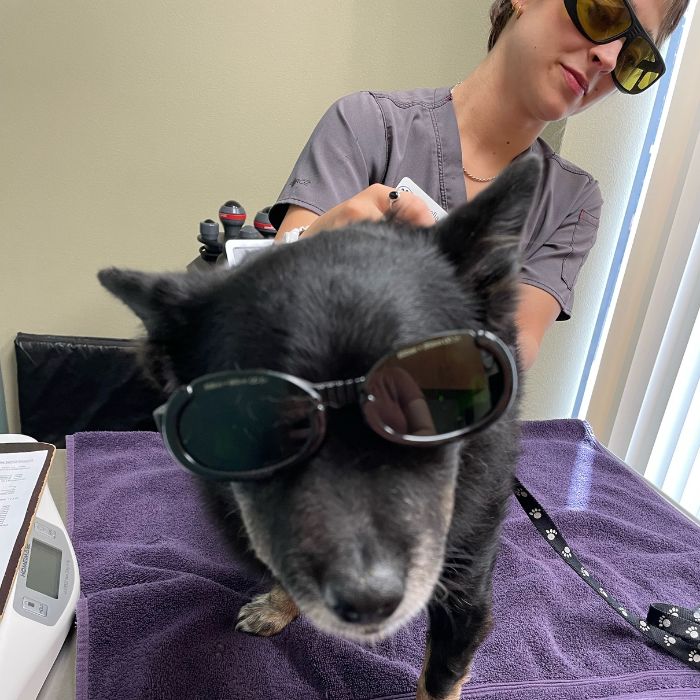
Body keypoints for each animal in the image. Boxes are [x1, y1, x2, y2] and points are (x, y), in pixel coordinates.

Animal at [95, 156, 540, 696]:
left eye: (429, 407)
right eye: (253, 428)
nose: (368, 602)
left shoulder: (466, 595)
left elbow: (439, 680)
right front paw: (279, 603)